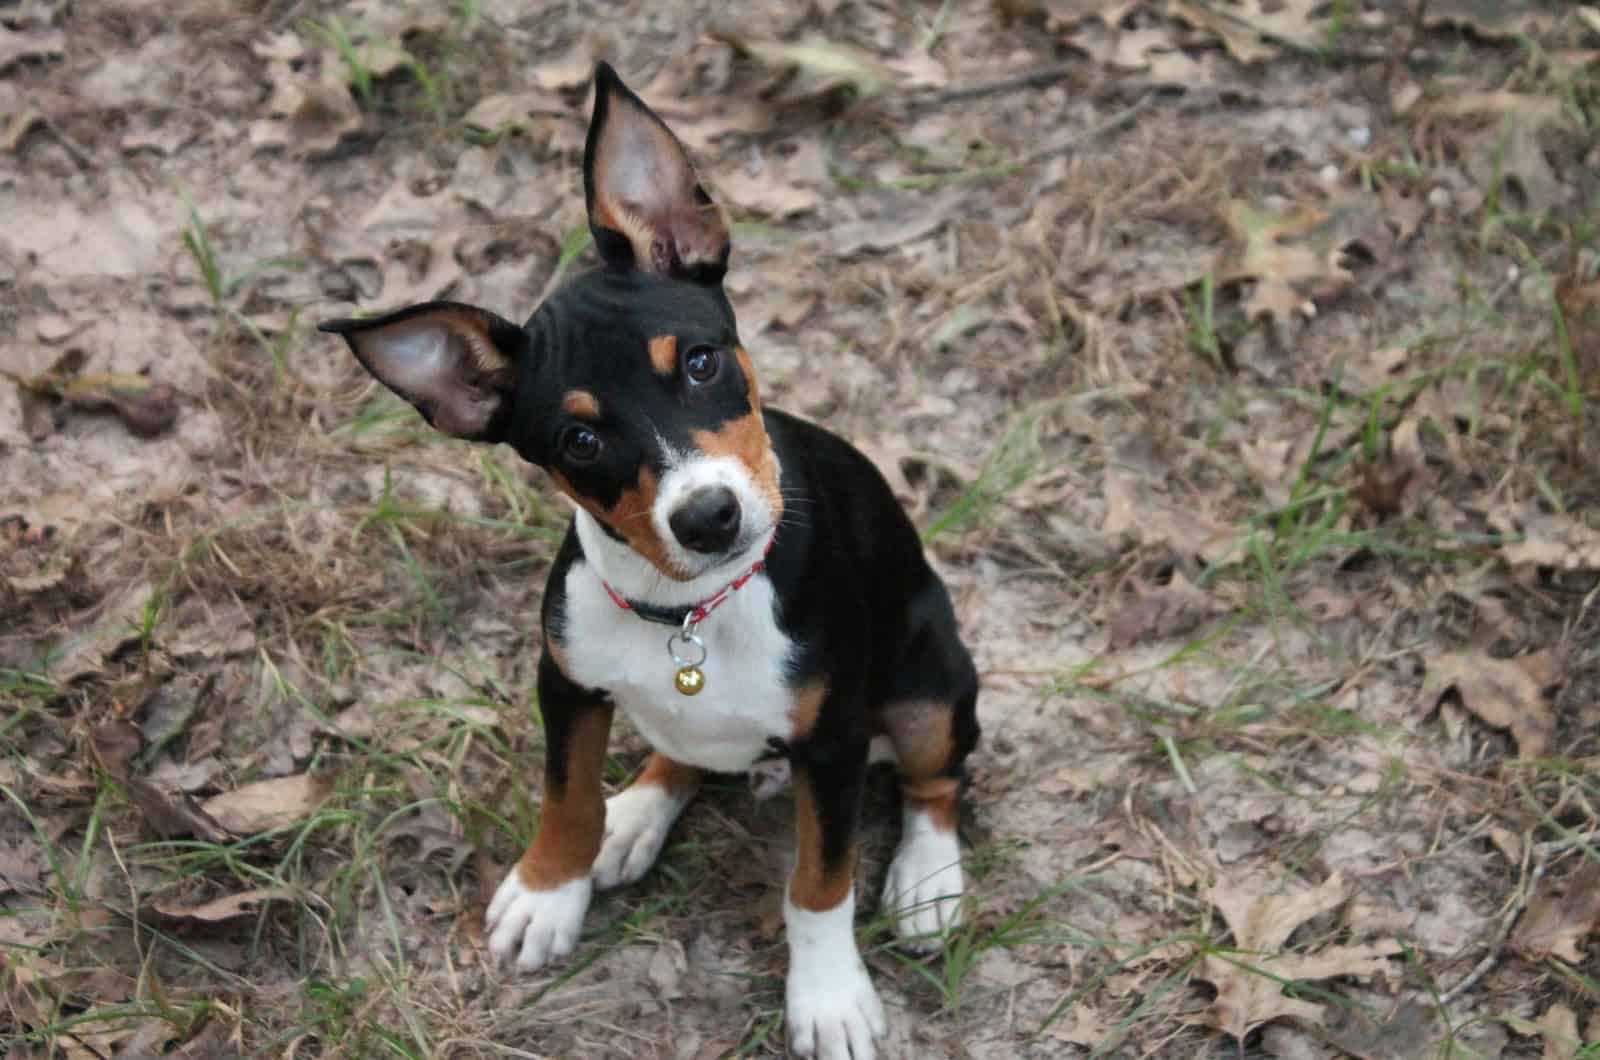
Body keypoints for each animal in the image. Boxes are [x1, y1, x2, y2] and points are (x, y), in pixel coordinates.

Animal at [320, 66, 979, 1060]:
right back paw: (635, 815)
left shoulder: (830, 743)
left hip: (929, 676)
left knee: (935, 774)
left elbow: (820, 884)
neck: (694, 610)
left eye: (702, 363)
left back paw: (929, 879)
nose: (708, 516)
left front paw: (829, 997)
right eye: (580, 440)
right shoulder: (563, 683)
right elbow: (566, 798)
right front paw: (550, 891)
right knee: (683, 752)